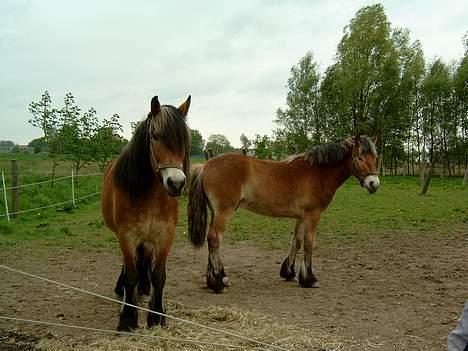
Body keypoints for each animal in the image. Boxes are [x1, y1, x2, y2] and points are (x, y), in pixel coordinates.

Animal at [101, 95, 191, 332]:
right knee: (128, 265)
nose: (176, 183)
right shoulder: (126, 236)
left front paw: (156, 316)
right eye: (156, 136)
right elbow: (130, 274)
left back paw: (144, 288)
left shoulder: (165, 236)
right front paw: (128, 318)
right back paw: (123, 289)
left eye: (184, 140)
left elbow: (159, 276)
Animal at [188, 136, 378, 292]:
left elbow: (297, 242)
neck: (317, 173)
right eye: (360, 157)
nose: (374, 184)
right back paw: (217, 282)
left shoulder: (301, 217)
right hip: (223, 211)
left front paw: (289, 272)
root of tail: (205, 165)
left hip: (216, 211)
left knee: (213, 239)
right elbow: (309, 244)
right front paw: (309, 279)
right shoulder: (313, 215)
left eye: (375, 158)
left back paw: (217, 278)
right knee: (214, 238)